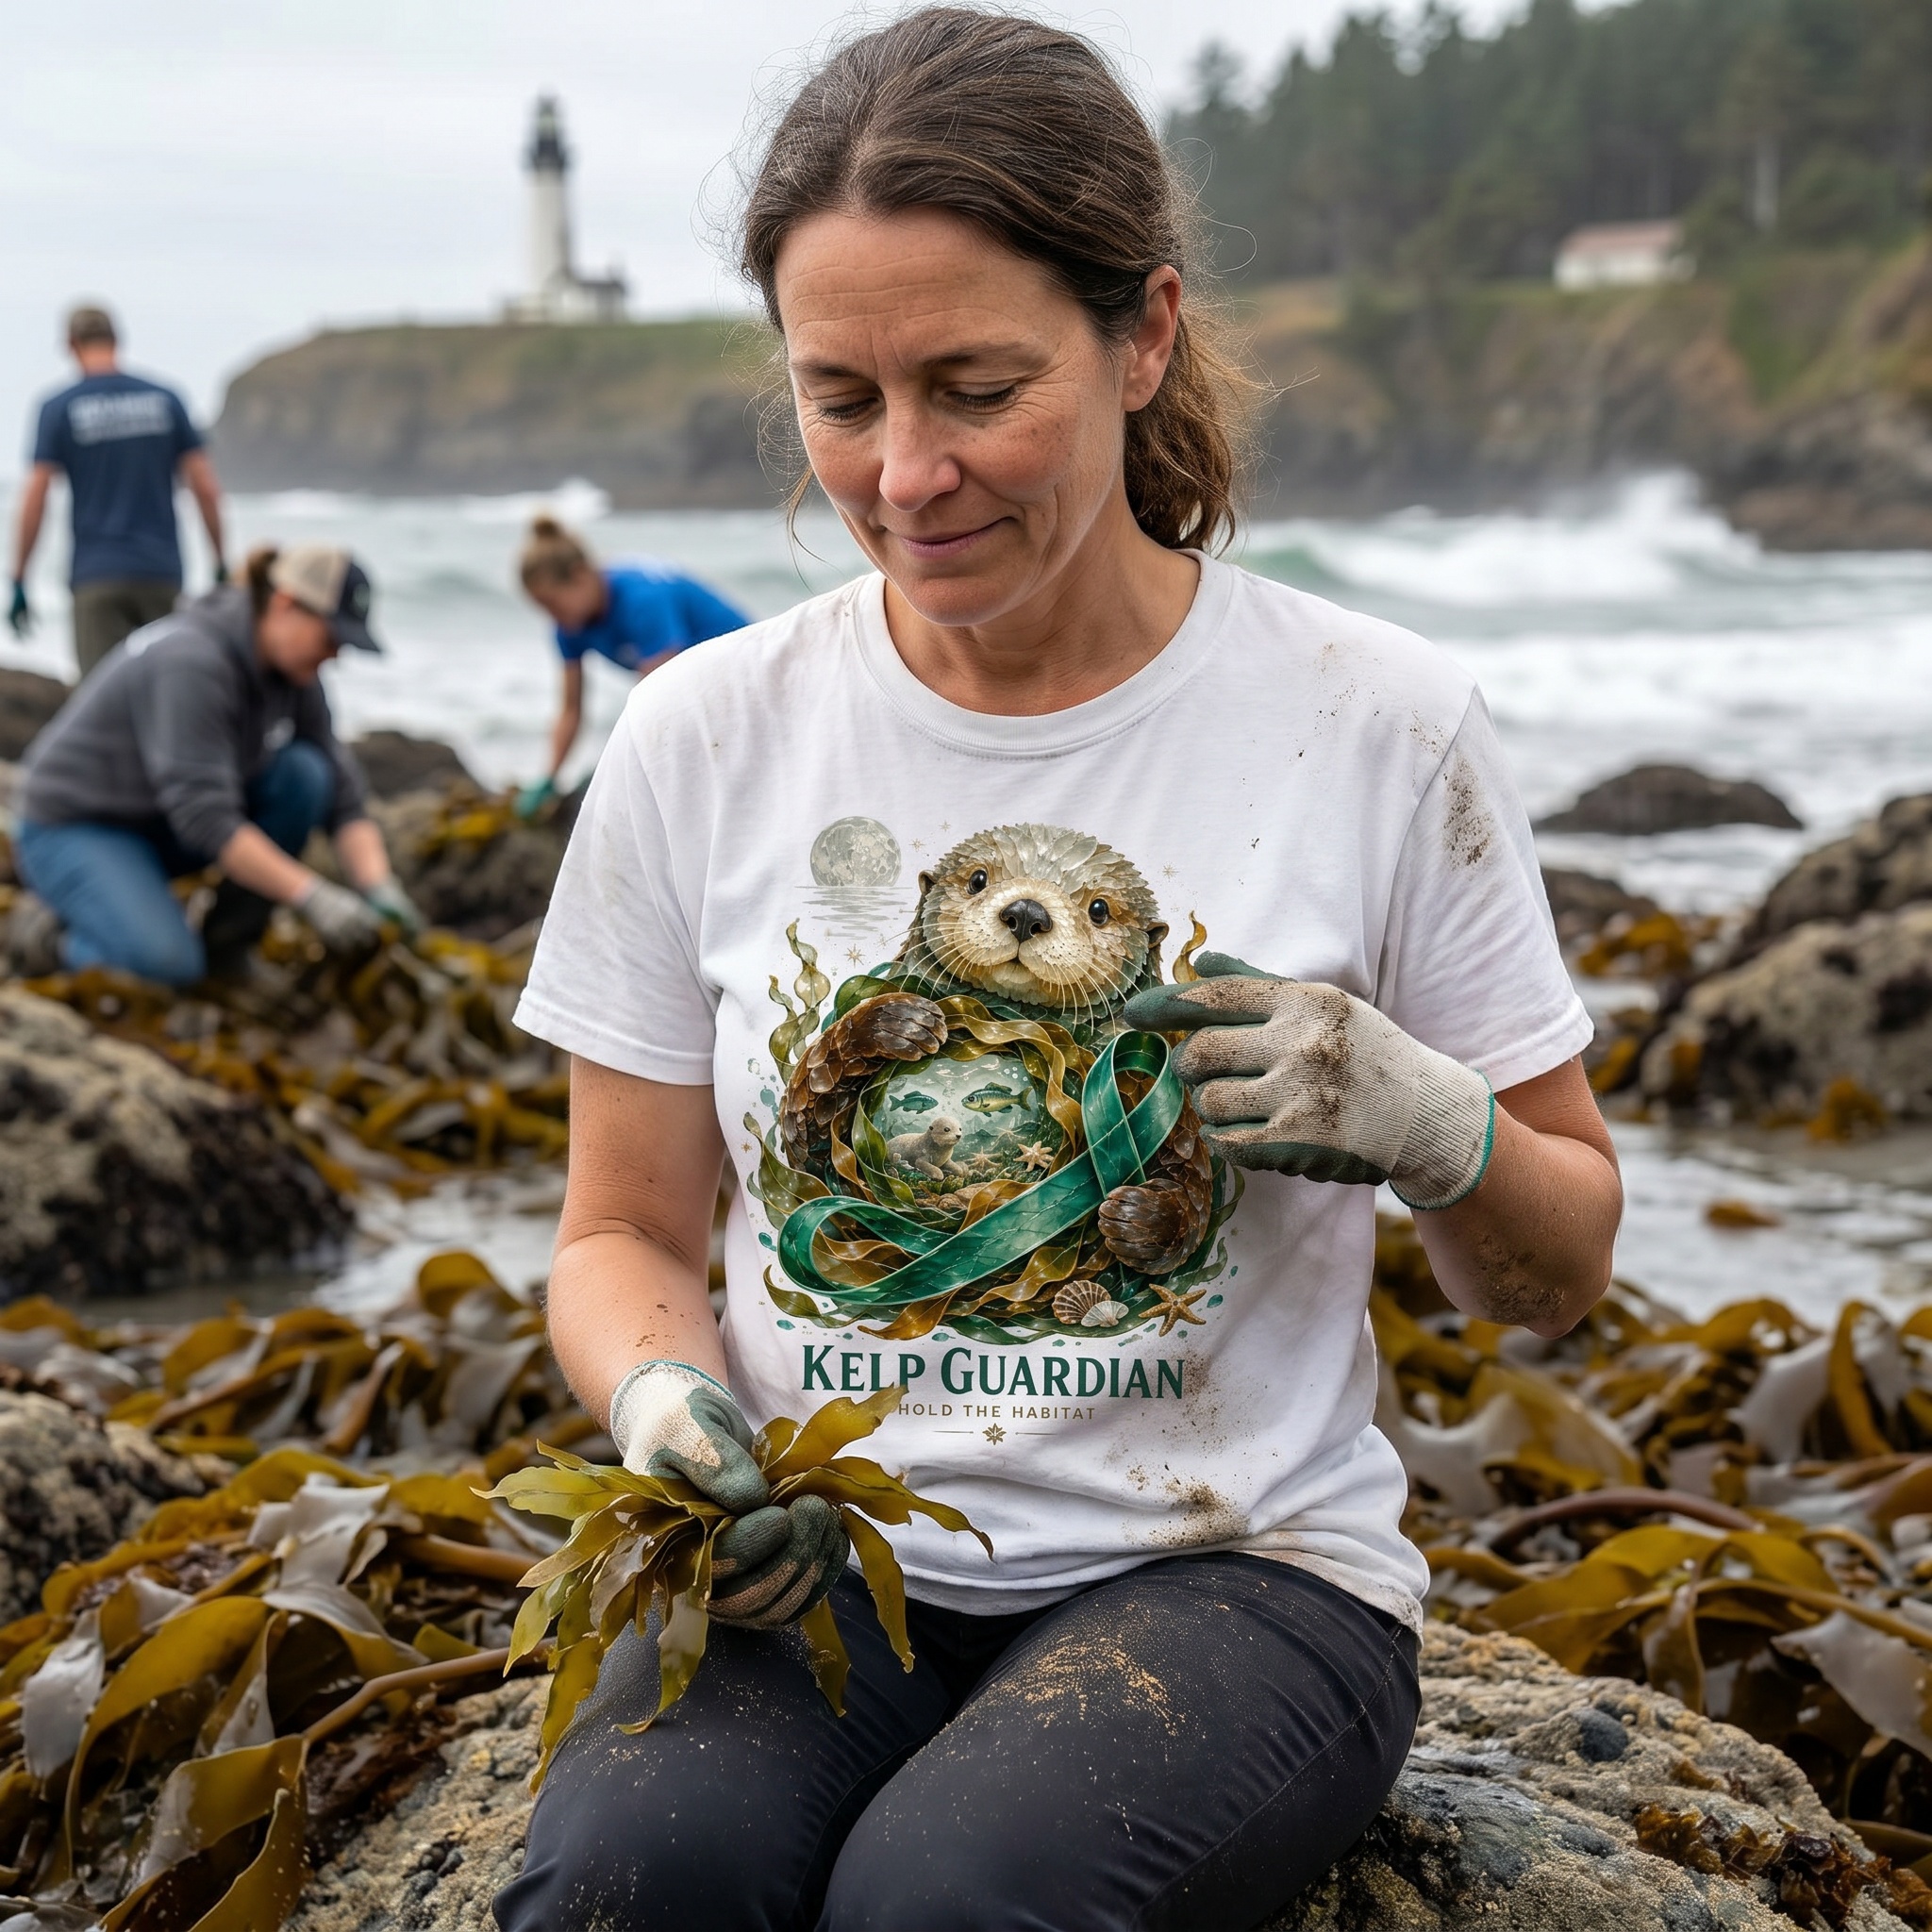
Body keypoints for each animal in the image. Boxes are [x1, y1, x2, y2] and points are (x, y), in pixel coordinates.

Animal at [779, 822, 1213, 1281]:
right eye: (977, 880)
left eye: (1099, 909)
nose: (1026, 912)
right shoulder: (814, 1154)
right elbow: (803, 1137)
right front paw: (898, 1022)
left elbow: (1190, 1170)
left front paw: (1141, 1220)